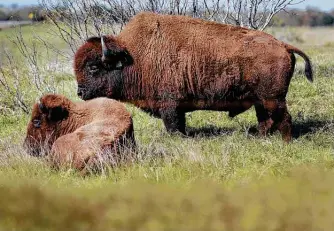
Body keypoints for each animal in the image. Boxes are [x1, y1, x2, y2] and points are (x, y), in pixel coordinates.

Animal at [73, 12, 314, 143]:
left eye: (93, 67)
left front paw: (178, 138)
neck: (135, 55)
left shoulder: (169, 104)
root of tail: (283, 44)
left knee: (284, 118)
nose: (80, 92)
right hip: (261, 100)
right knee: (266, 120)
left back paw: (285, 142)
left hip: (273, 99)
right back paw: (258, 138)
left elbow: (173, 124)